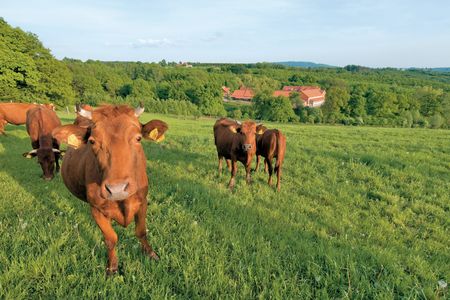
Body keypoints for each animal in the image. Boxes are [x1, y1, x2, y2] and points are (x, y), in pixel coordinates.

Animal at [51, 105, 170, 274]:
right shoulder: (96, 209)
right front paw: (112, 266)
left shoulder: (143, 202)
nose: (116, 189)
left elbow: (141, 231)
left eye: (138, 138)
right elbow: (111, 238)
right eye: (92, 141)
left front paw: (151, 254)